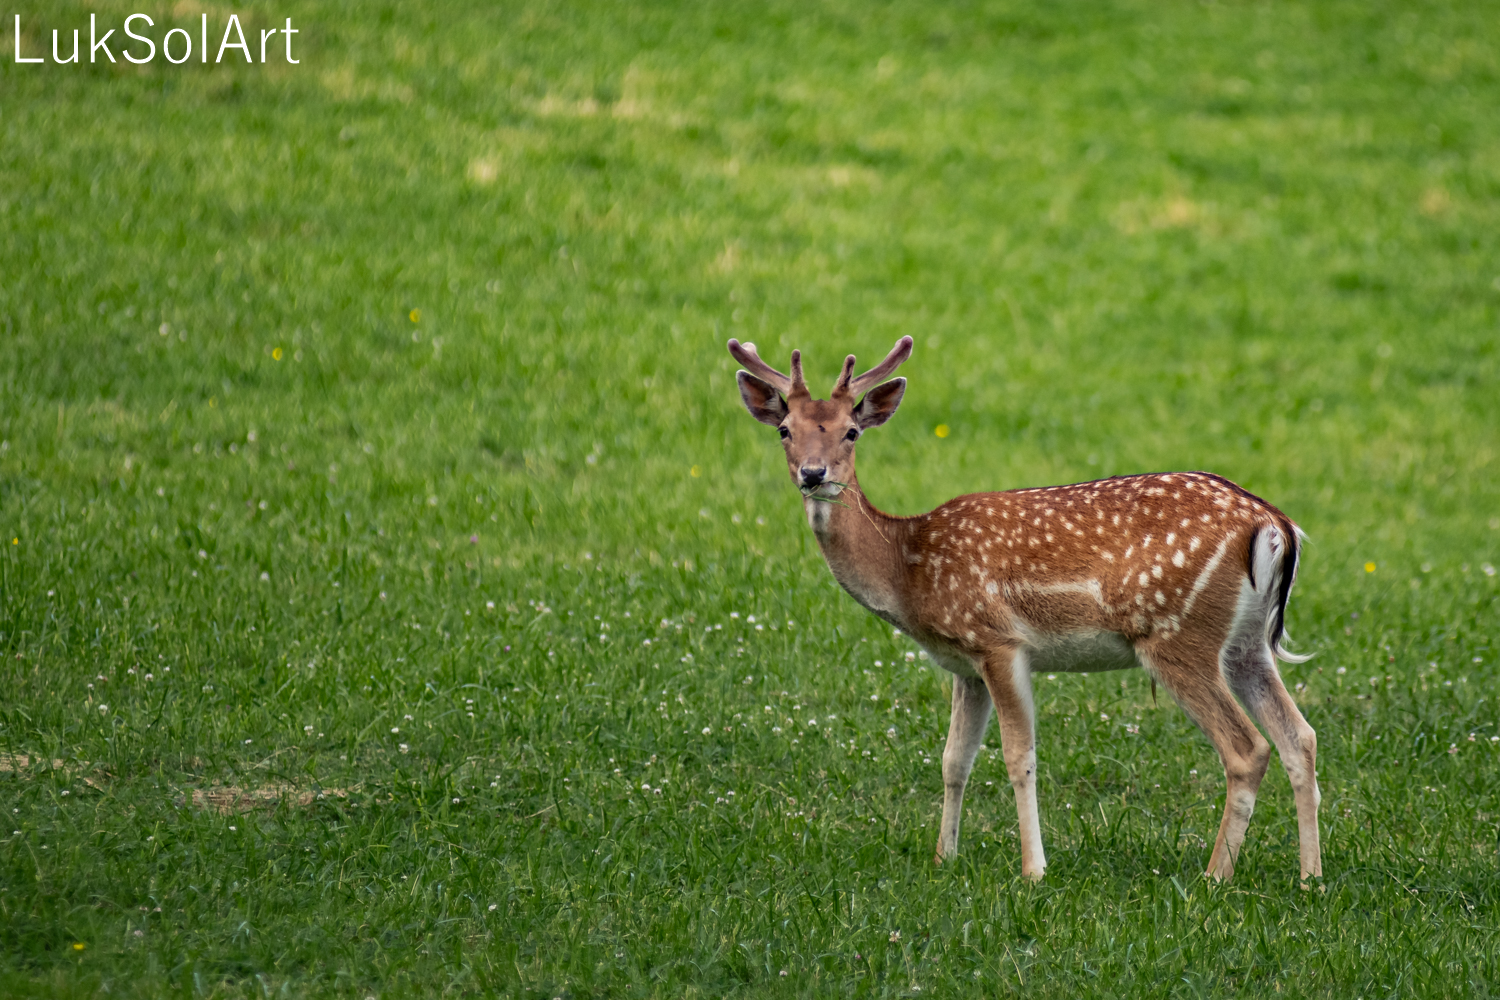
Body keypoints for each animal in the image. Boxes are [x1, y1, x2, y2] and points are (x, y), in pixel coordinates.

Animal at [732, 338, 1320, 881]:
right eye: (785, 429)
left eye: (850, 432)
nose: (814, 474)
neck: (907, 568)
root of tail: (1274, 525)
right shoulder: (964, 664)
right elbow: (954, 759)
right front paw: (944, 858)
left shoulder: (999, 641)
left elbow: (1019, 757)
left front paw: (1033, 870)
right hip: (1245, 643)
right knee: (1300, 738)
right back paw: (1310, 877)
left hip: (1176, 633)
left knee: (1247, 748)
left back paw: (1214, 876)